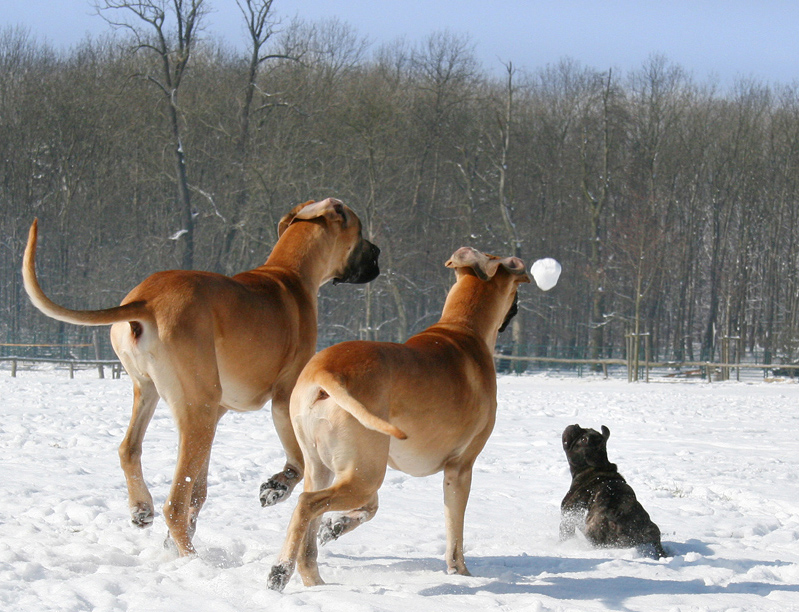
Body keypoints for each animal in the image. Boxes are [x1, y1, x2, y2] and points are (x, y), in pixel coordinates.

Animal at [20, 198, 380, 556]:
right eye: (360, 229)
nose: (377, 252)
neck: (289, 273)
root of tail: (146, 300)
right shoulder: (282, 399)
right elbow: (297, 463)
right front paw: (277, 486)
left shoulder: (220, 411)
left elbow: (201, 489)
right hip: (199, 411)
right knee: (174, 505)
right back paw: (192, 559)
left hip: (156, 394)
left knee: (131, 450)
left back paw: (142, 508)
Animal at [266, 246, 536, 592]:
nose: (516, 307)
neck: (463, 329)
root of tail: (324, 372)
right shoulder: (460, 469)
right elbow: (455, 533)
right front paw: (460, 572)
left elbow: (369, 509)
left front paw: (338, 524)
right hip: (365, 474)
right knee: (307, 504)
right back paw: (279, 570)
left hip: (324, 467)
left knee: (310, 530)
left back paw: (313, 578)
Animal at [564, 426, 668, 560]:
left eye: (582, 438)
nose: (576, 426)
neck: (599, 466)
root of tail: (616, 515)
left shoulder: (568, 510)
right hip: (651, 528)